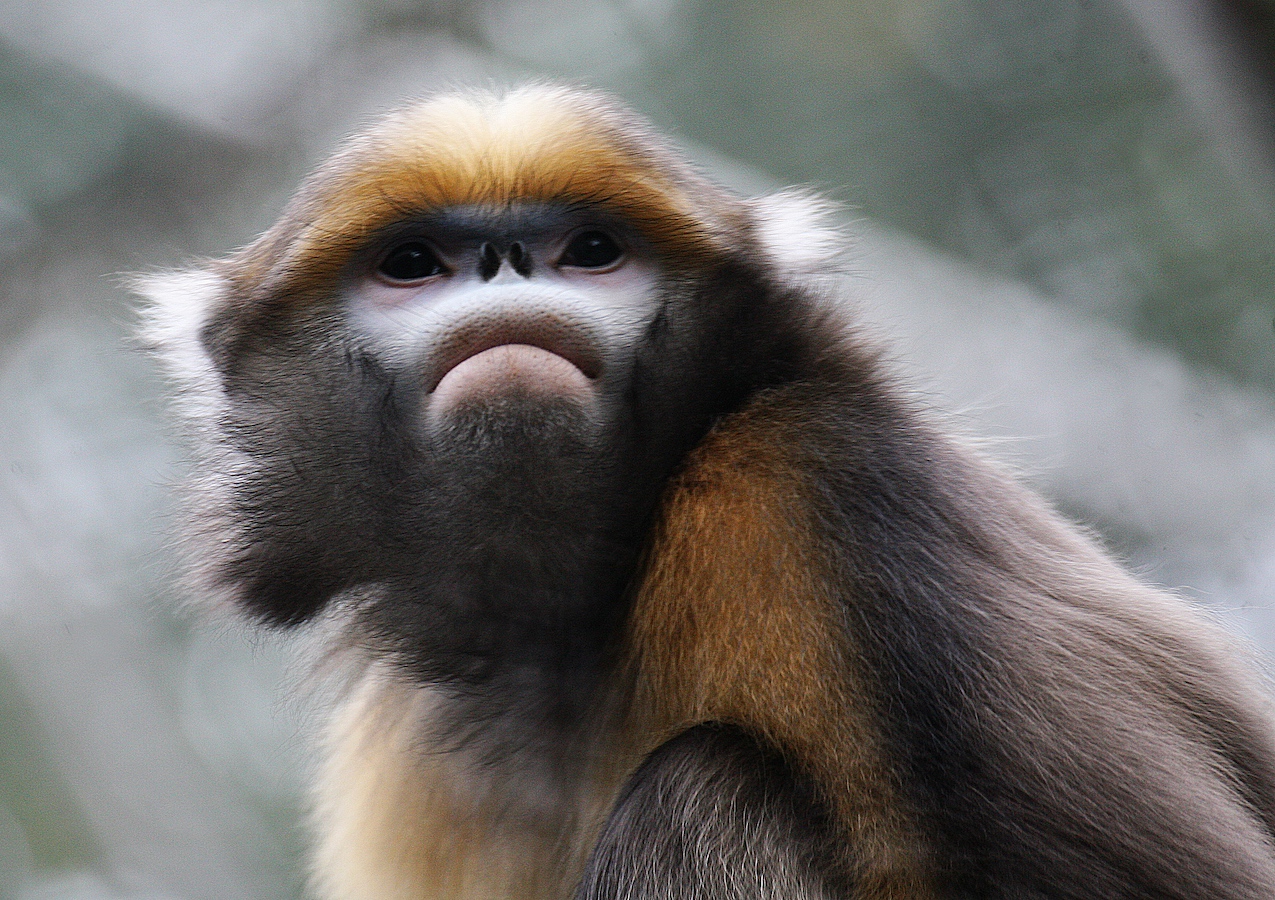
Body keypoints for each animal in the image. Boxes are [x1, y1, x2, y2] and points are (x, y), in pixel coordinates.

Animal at [137, 84, 1275, 897]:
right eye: (412, 263)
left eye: (592, 250)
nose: (506, 262)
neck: (572, 630)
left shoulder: (811, 482)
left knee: (700, 786)